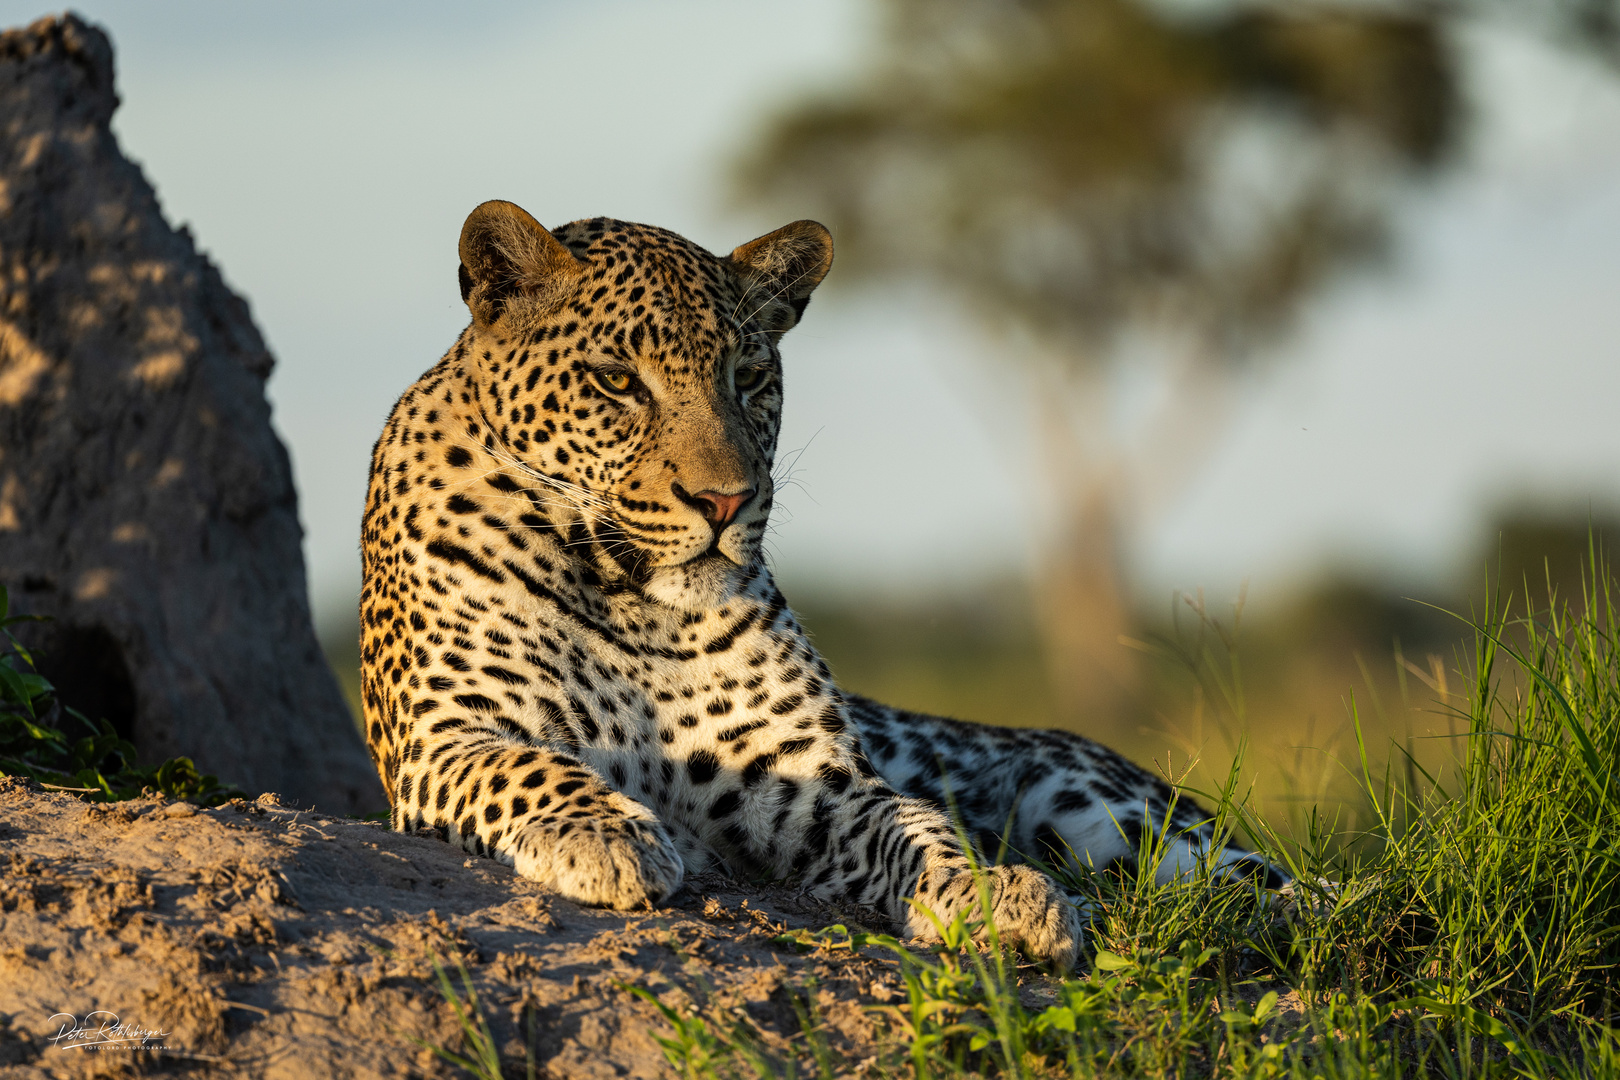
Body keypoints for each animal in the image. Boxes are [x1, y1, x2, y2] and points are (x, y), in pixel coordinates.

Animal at [361, 200, 1283, 971]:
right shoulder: (445, 737)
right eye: (616, 381)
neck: (633, 602)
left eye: (749, 377)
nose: (724, 500)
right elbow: (531, 767)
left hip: (1120, 816)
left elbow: (919, 825)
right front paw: (607, 836)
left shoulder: (808, 778)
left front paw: (998, 894)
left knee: (1275, 882)